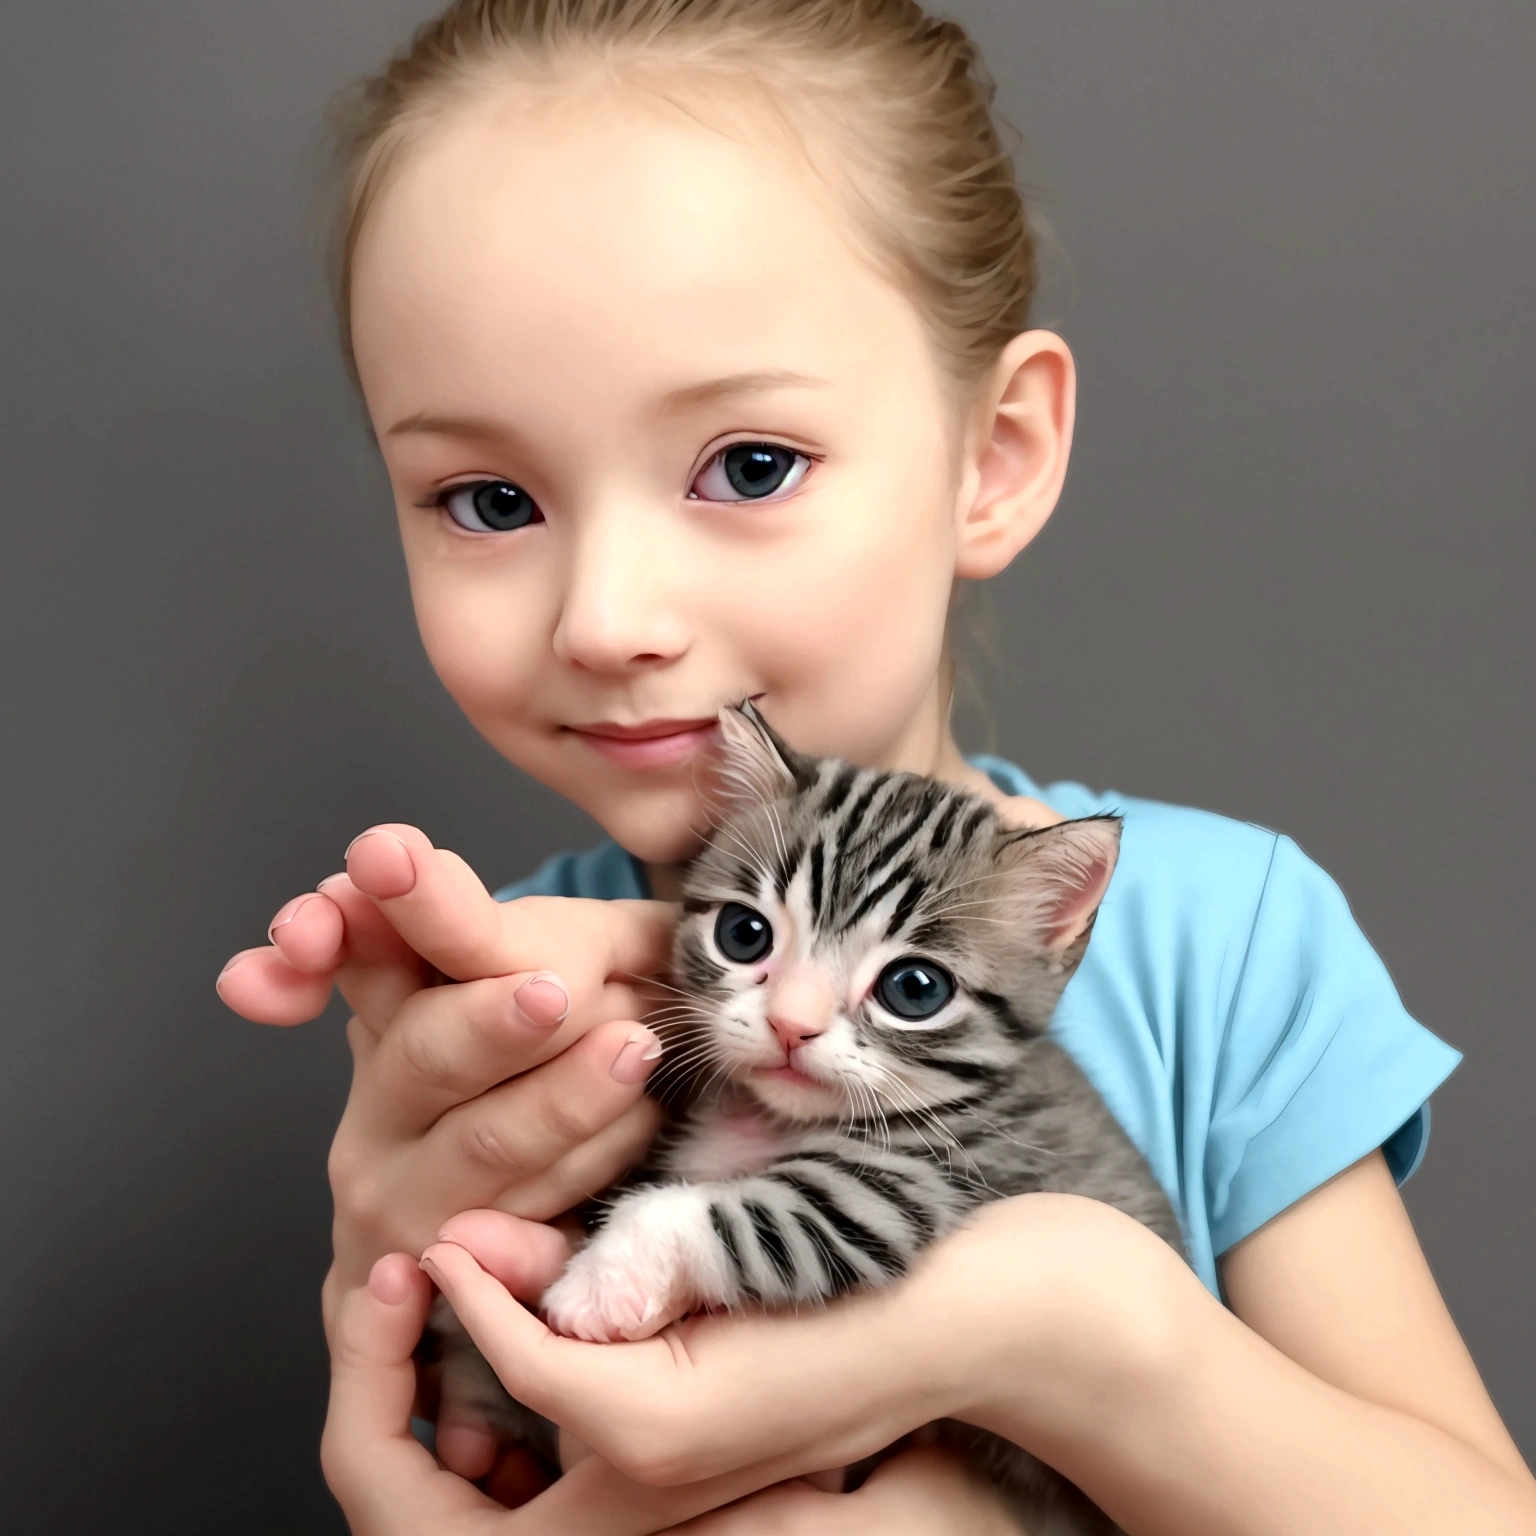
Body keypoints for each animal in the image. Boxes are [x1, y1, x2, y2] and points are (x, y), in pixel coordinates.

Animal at [439, 703, 1179, 1529]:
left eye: (915, 988)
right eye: (744, 934)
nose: (792, 1025)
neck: (770, 1120)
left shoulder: (907, 1183)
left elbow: (730, 1212)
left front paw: (598, 1285)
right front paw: (477, 1397)